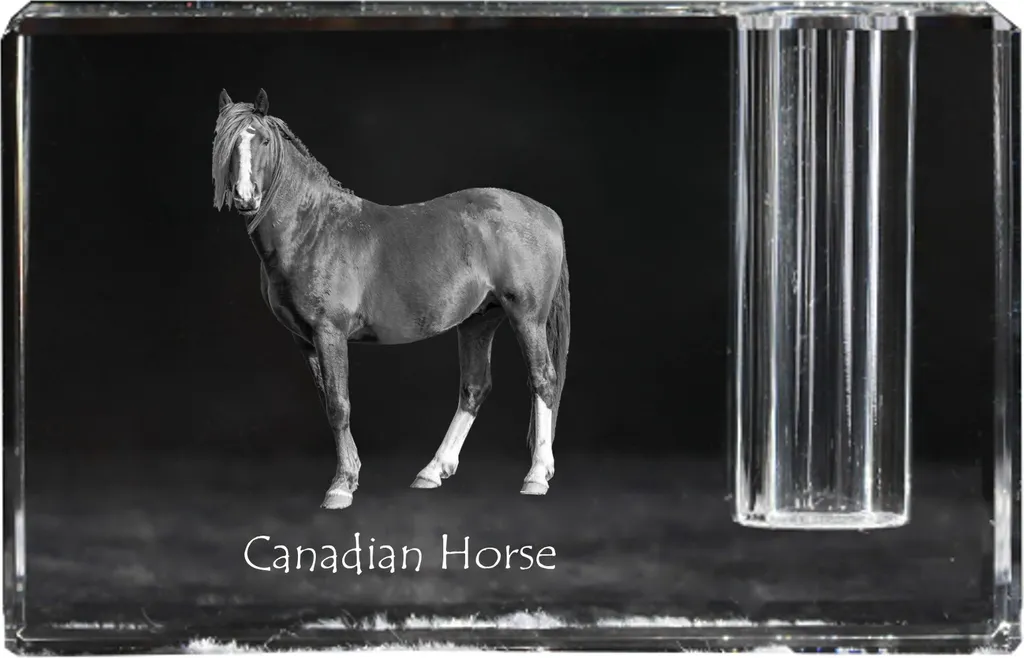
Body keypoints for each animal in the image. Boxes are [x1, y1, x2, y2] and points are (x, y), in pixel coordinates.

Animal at [212, 89, 570, 510]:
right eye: (224, 144)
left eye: (264, 141)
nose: (245, 197)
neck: (313, 228)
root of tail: (545, 213)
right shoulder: (305, 340)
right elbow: (328, 401)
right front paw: (350, 476)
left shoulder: (329, 333)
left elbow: (339, 405)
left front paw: (340, 486)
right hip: (479, 321)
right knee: (474, 388)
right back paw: (432, 471)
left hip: (526, 317)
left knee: (543, 380)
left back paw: (536, 476)